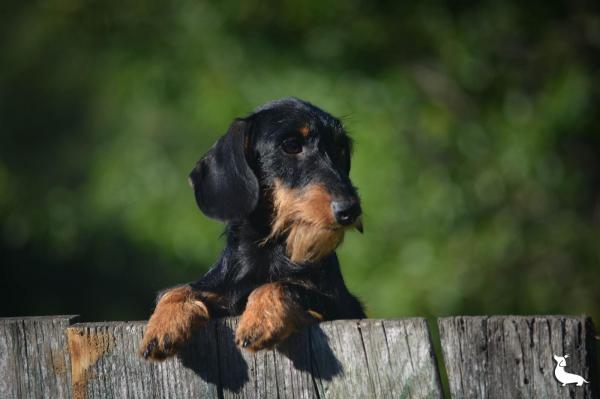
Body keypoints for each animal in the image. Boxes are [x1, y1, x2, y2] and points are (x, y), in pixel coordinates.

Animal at [139, 98, 366, 360]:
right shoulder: (224, 293)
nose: (350, 210)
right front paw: (163, 326)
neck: (267, 248)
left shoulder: (339, 305)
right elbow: (177, 290)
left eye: (340, 148)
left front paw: (260, 320)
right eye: (291, 145)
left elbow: (284, 284)